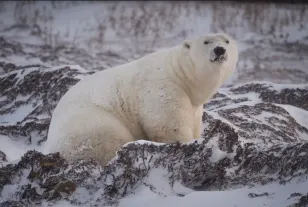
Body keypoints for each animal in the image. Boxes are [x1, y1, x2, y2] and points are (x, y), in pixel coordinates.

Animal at [45, 33, 238, 167]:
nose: (220, 50)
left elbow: (195, 122)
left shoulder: (193, 104)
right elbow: (169, 125)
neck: (180, 74)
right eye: (206, 42)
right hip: (90, 125)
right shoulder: (163, 89)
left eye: (227, 41)